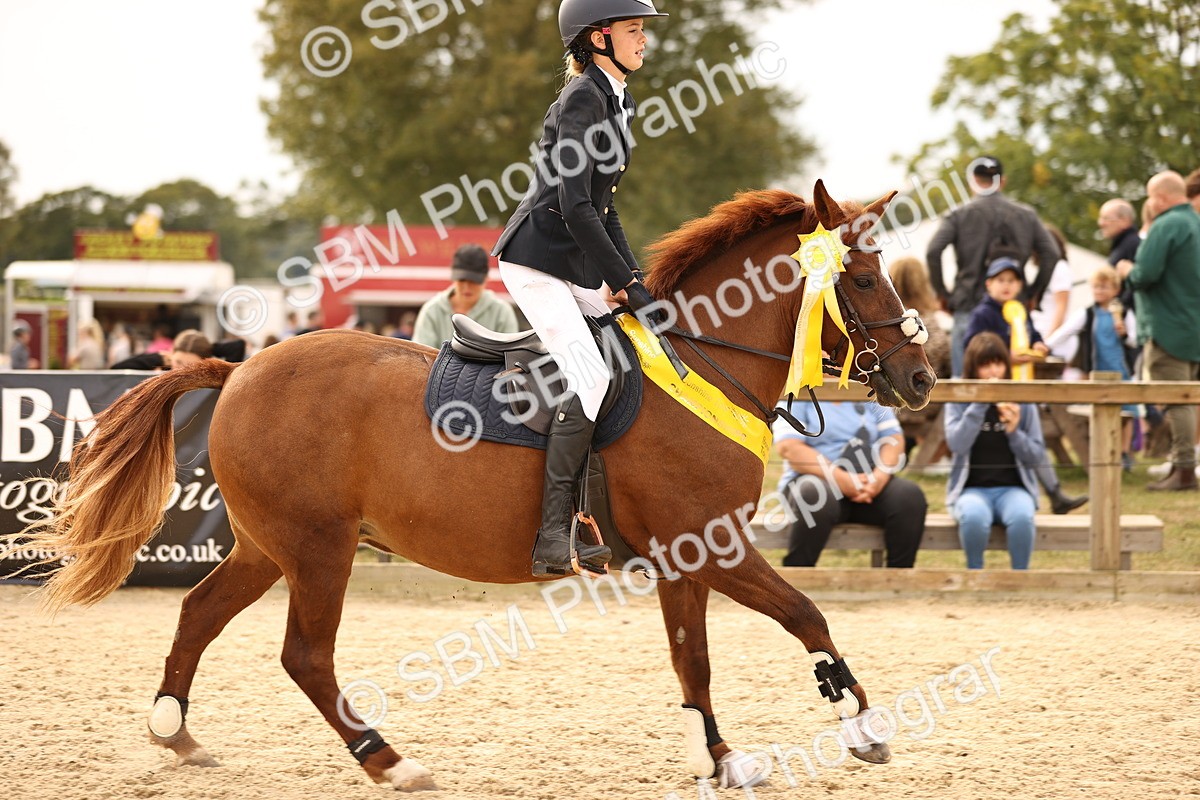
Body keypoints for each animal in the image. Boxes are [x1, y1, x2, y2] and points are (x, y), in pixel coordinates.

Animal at [16, 181, 934, 791]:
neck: (702, 363)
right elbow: (805, 615)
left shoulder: (686, 560)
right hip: (318, 550)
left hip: (269, 545)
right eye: (859, 279)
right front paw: (861, 727)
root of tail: (238, 368)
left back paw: (176, 733)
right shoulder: (715, 548)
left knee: (199, 612)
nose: (921, 378)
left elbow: (694, 662)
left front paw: (719, 758)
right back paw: (389, 760)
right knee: (306, 655)